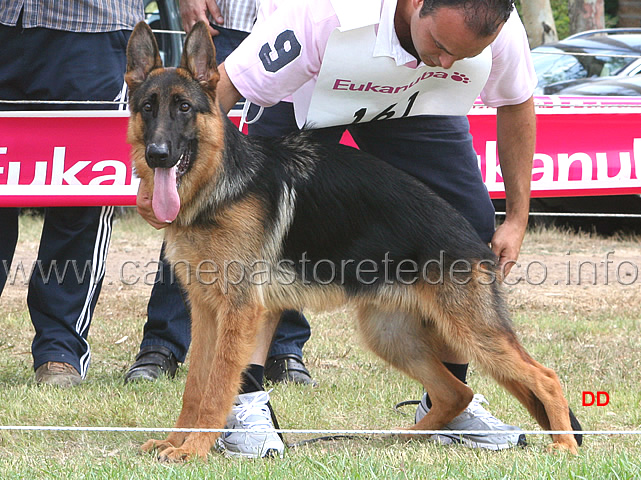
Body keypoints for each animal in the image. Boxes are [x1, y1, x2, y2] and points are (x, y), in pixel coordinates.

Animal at [125, 22, 580, 462]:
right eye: (148, 107)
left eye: (184, 107)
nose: (158, 154)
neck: (220, 185)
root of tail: (476, 242)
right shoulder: (206, 313)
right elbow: (195, 388)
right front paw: (175, 442)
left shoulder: (238, 312)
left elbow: (217, 388)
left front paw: (194, 450)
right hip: (392, 337)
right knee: (457, 390)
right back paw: (408, 437)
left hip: (469, 330)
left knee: (544, 377)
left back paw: (565, 445)